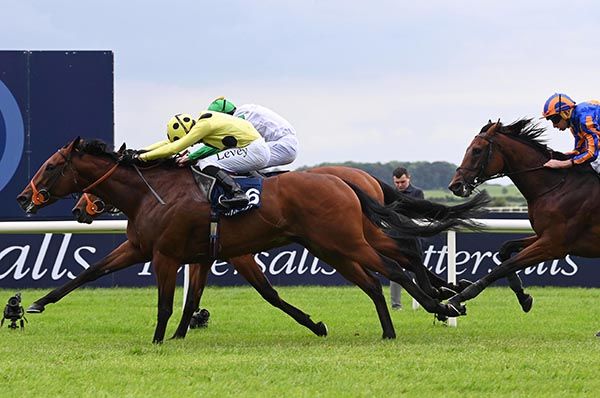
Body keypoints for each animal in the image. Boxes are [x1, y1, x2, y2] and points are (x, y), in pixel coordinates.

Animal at [17, 138, 468, 340]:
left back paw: (440, 302)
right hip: (333, 244)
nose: (23, 197)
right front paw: (36, 304)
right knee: (381, 274)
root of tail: (347, 181)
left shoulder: (168, 255)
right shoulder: (154, 249)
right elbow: (89, 272)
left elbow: (168, 303)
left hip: (344, 241)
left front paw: (160, 340)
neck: (151, 192)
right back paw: (420, 310)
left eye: (52, 165)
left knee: (395, 265)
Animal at [446, 119, 592, 314]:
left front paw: (458, 298)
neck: (558, 187)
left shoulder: (554, 245)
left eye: (476, 150)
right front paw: (523, 296)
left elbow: (504, 266)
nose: (455, 185)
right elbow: (505, 249)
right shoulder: (544, 236)